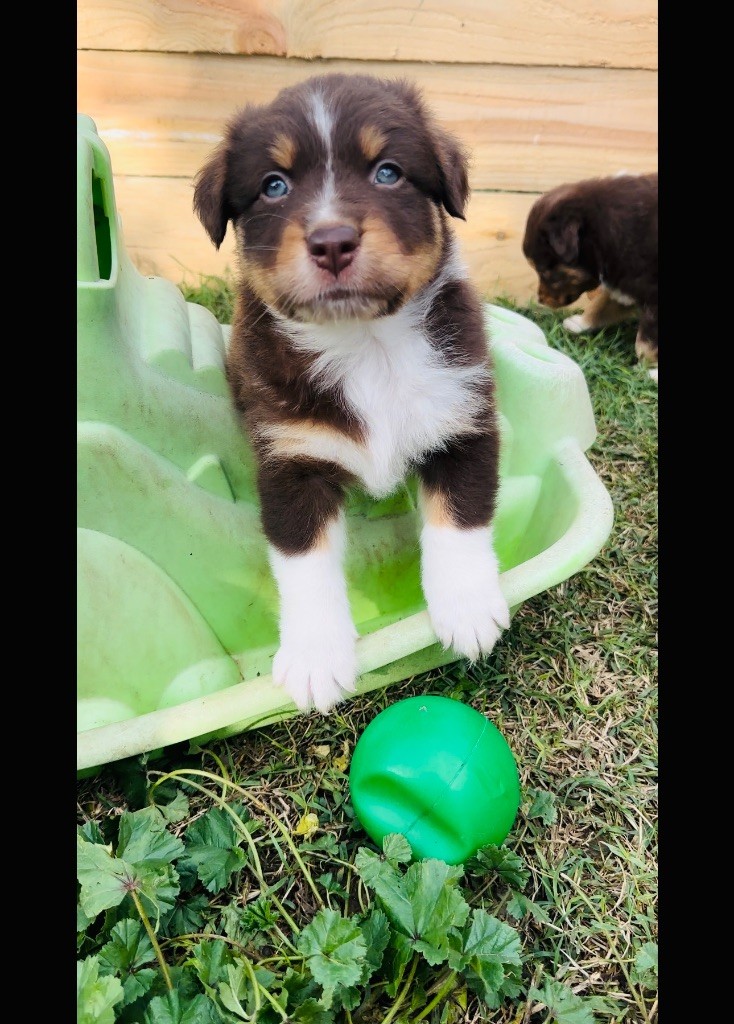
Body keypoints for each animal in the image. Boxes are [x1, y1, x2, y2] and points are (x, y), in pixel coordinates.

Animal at [191, 74, 507, 712]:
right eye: (274, 185)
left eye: (388, 172)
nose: (332, 241)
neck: (366, 345)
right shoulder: (292, 462)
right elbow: (303, 562)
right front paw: (316, 659)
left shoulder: (463, 420)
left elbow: (461, 519)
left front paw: (466, 609)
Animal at [522, 172, 659, 376]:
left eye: (544, 272)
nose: (541, 300)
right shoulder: (622, 282)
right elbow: (601, 304)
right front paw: (580, 323)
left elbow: (645, 343)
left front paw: (650, 372)